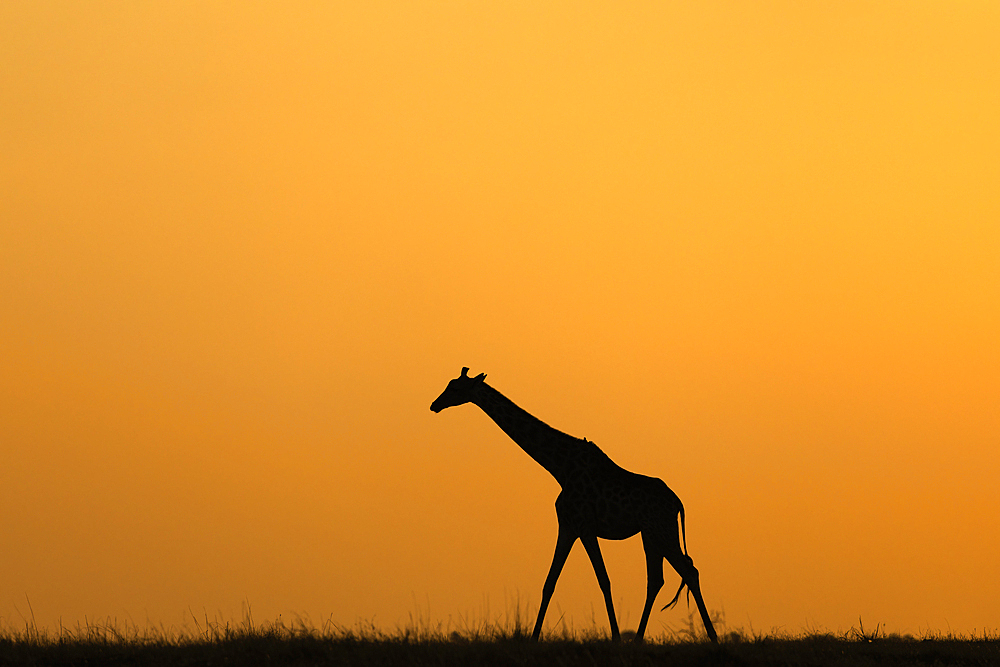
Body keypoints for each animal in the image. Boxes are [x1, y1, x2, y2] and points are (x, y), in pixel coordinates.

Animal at [430, 368, 720, 644]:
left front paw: (616, 638)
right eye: (448, 384)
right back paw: (639, 640)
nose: (434, 404)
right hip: (650, 534)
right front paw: (533, 638)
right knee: (657, 579)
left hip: (661, 530)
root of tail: (677, 502)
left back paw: (713, 637)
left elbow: (603, 579)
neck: (560, 467)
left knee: (688, 571)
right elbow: (550, 582)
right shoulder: (568, 526)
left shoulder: (585, 526)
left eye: (455, 388)